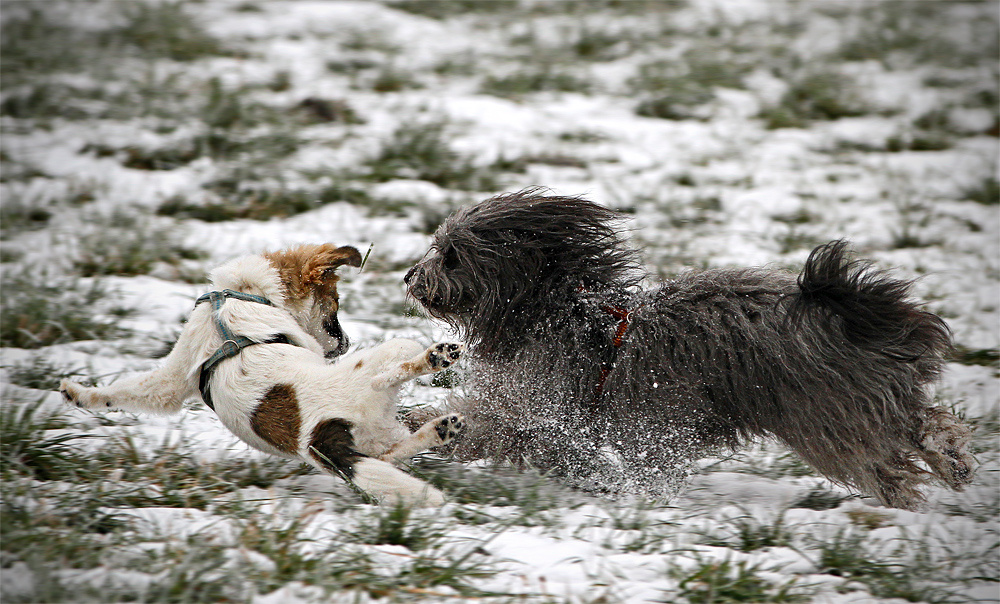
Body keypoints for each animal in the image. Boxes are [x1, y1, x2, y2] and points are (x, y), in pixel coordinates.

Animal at [61, 243, 464, 508]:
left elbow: (131, 389)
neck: (240, 295)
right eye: (335, 303)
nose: (346, 344)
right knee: (391, 371)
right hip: (384, 366)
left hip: (365, 444)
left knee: (392, 453)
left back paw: (440, 429)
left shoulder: (174, 378)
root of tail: (322, 434)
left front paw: (79, 394)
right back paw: (435, 359)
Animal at [402, 190, 972, 510]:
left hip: (825, 416)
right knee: (924, 424)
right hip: (865, 398)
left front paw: (424, 423)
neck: (553, 308)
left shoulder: (537, 411)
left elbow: (488, 426)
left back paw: (901, 505)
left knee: (886, 461)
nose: (410, 277)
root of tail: (851, 315)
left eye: (451, 255)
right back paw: (953, 461)